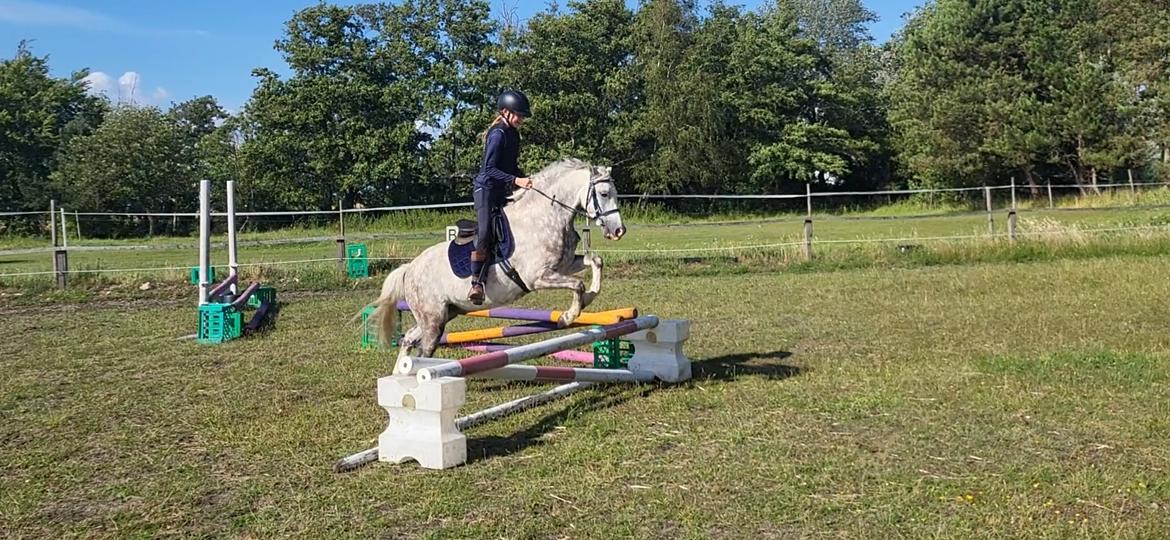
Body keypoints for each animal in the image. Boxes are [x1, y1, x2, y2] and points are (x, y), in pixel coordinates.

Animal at [366, 158, 626, 362]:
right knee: (422, 353)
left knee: (408, 340)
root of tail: (409, 268)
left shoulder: (564, 264)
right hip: (433, 321)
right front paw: (568, 316)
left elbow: (596, 261)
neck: (545, 217)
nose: (618, 231)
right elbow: (577, 284)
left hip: (445, 313)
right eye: (604, 194)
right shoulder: (538, 277)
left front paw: (589, 298)